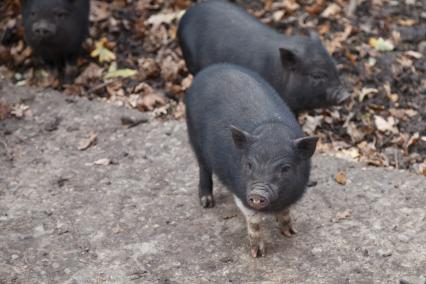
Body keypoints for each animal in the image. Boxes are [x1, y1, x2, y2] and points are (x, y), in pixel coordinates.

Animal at [185, 63, 318, 258]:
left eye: (285, 168)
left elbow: (286, 213)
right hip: (194, 137)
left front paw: (290, 233)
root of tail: (208, 69)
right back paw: (207, 203)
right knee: (203, 167)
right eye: (249, 164)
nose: (258, 193)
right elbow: (253, 223)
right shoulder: (241, 193)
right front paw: (258, 254)